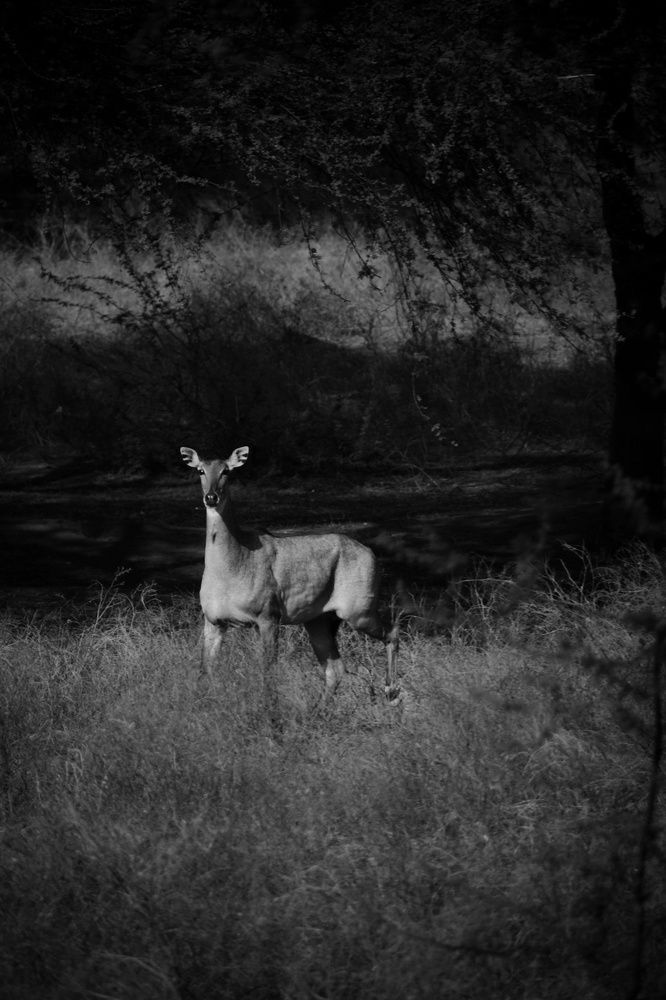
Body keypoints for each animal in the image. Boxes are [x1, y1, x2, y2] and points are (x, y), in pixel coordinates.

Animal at [180, 445, 399, 708]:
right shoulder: (213, 620)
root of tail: (372, 554)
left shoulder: (268, 614)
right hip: (319, 618)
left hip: (359, 607)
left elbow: (268, 671)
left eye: (227, 471)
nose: (211, 497)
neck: (231, 567)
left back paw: (391, 691)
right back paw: (318, 711)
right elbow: (205, 671)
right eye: (200, 470)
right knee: (335, 668)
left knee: (392, 632)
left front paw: (268, 712)